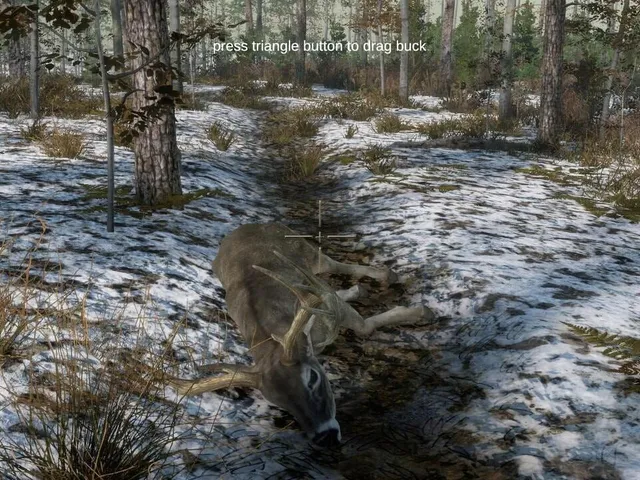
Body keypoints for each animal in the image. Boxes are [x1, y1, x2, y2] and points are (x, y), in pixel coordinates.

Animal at [166, 223, 433, 447]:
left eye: (312, 378)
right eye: (279, 402)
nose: (325, 437)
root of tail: (245, 227)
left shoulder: (331, 311)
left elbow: (364, 326)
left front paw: (420, 311)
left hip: (306, 251)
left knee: (333, 266)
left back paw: (384, 277)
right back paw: (356, 289)